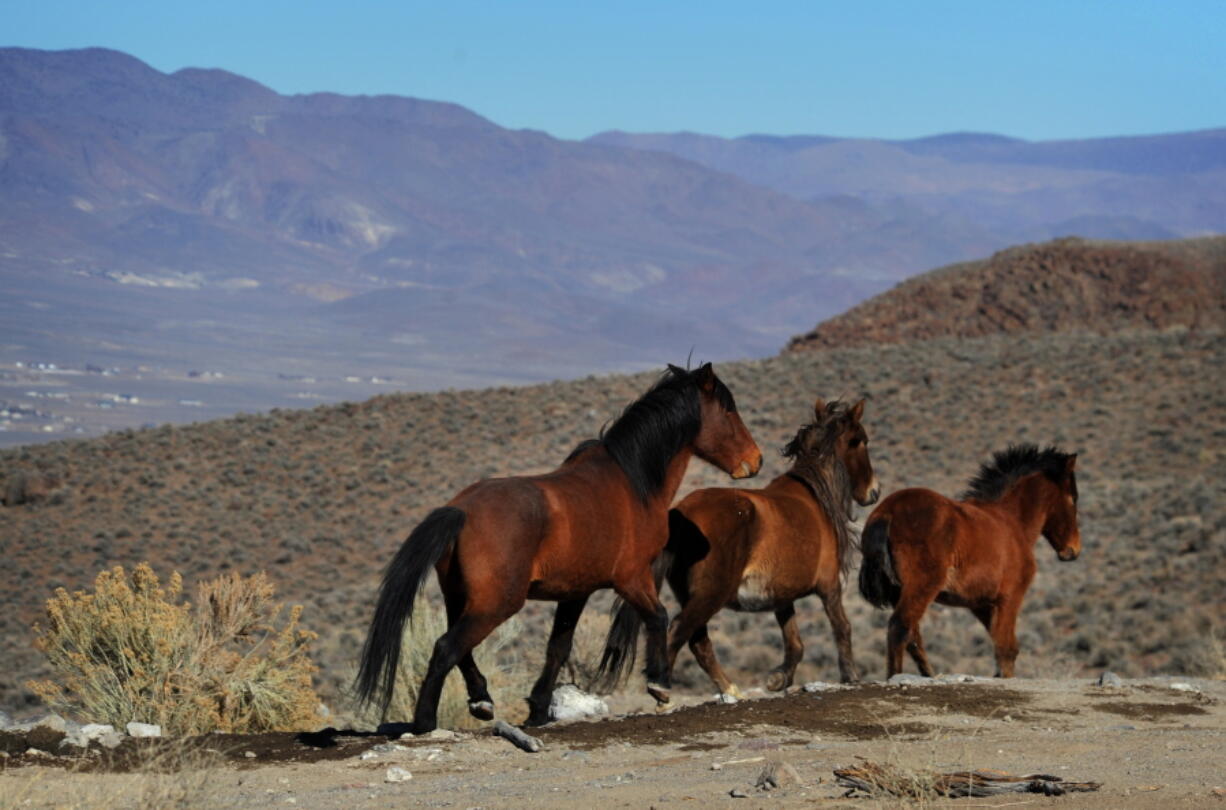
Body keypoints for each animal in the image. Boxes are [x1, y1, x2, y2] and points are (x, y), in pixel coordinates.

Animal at [350, 362, 760, 730]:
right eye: (728, 409)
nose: (755, 460)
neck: (633, 483)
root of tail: (461, 510)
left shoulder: (575, 592)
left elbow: (557, 648)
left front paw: (537, 709)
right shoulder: (630, 578)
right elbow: (658, 617)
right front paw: (659, 684)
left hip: (461, 598)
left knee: (459, 648)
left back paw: (482, 701)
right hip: (496, 603)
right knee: (445, 647)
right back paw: (425, 721)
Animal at [598, 394, 877, 696]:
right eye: (860, 440)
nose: (873, 492)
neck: (815, 495)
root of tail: (680, 513)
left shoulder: (782, 597)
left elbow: (794, 642)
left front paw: (780, 678)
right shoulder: (829, 586)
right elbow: (841, 627)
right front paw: (851, 675)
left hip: (694, 596)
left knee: (699, 642)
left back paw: (729, 689)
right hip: (710, 595)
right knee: (679, 631)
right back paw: (662, 688)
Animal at [853, 441, 1083, 676]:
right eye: (1073, 499)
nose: (1073, 550)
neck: (1012, 521)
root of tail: (886, 513)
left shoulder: (981, 605)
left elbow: (999, 646)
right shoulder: (1010, 597)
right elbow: (1007, 649)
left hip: (898, 592)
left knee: (913, 638)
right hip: (921, 587)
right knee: (899, 628)